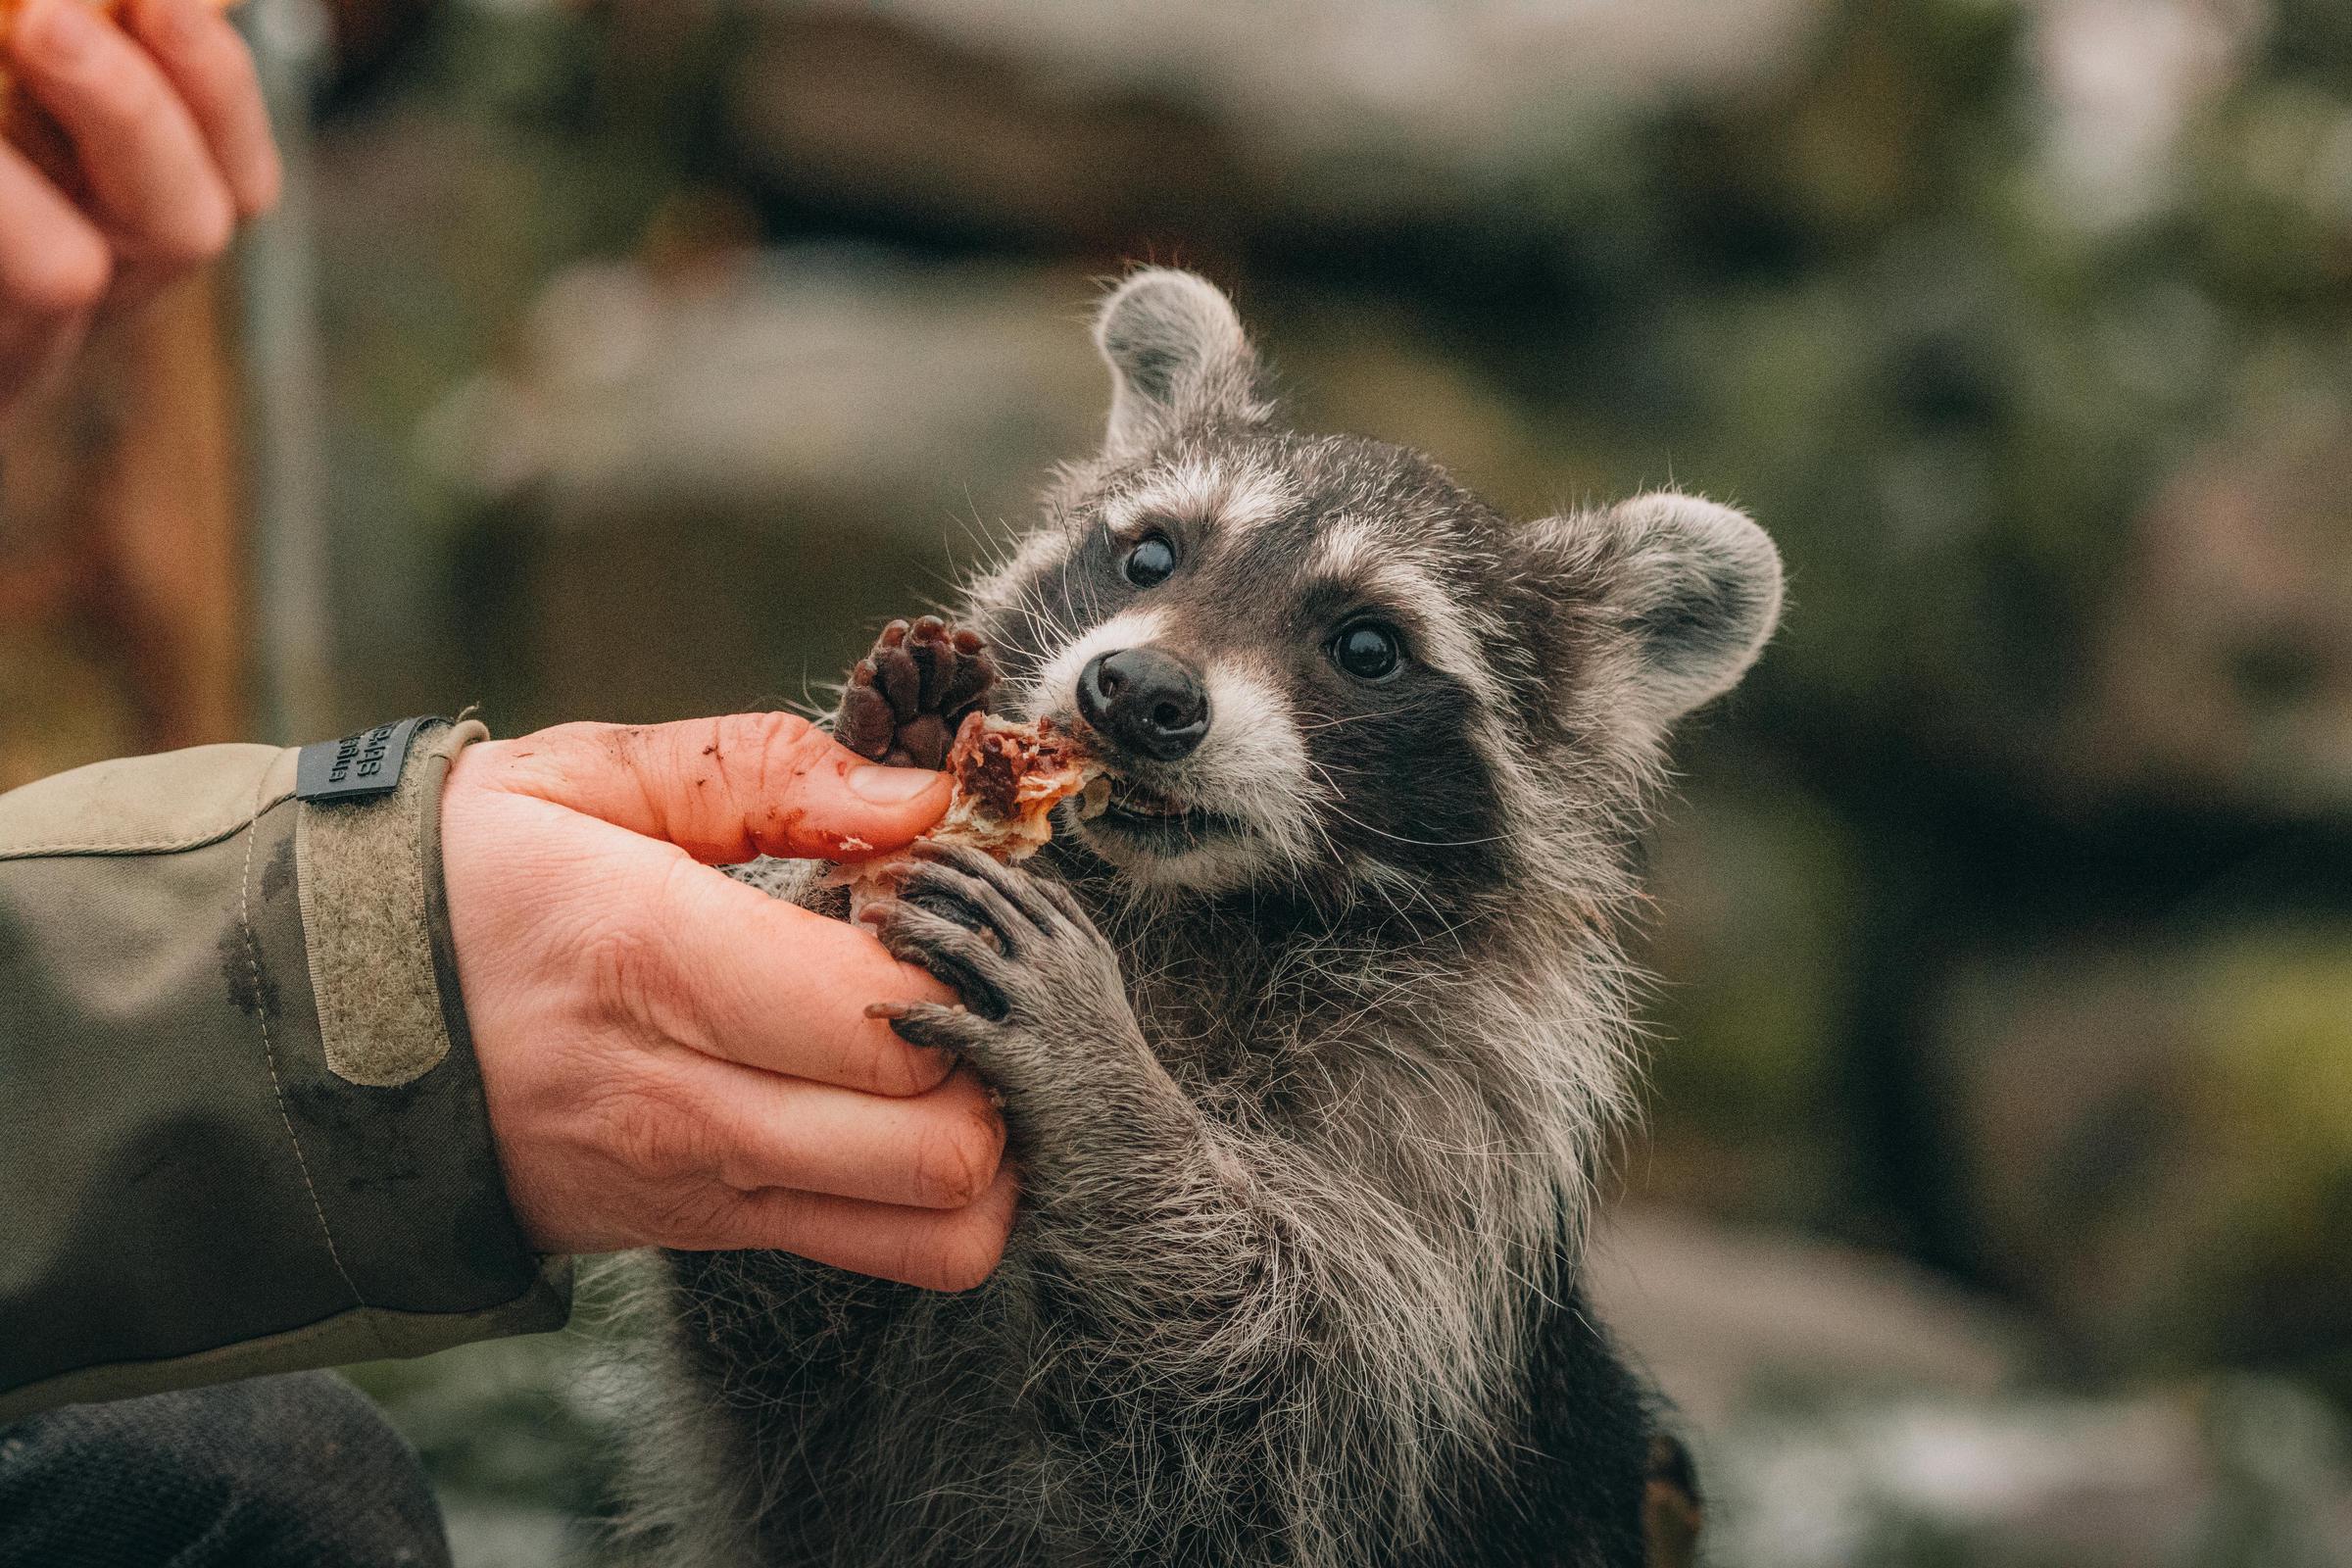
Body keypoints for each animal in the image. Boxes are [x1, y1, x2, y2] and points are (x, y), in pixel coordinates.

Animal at [625, 272, 1778, 1568]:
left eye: (1369, 645)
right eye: (1149, 553)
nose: (1138, 692)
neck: (1180, 913)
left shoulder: (1451, 1153)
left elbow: (1280, 1387)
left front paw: (1106, 1085)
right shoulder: (807, 1443)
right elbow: (770, 1309)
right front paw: (861, 825)